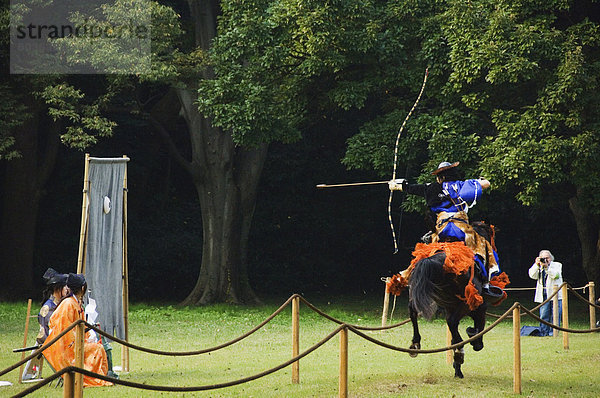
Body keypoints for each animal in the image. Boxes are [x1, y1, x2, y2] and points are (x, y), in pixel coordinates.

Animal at [408, 222, 502, 378]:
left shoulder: (452, 309)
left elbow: (454, 334)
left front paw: (457, 368)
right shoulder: (479, 309)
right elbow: (477, 328)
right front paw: (474, 340)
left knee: (413, 312)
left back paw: (416, 343)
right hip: (464, 305)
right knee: (452, 323)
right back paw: (460, 351)